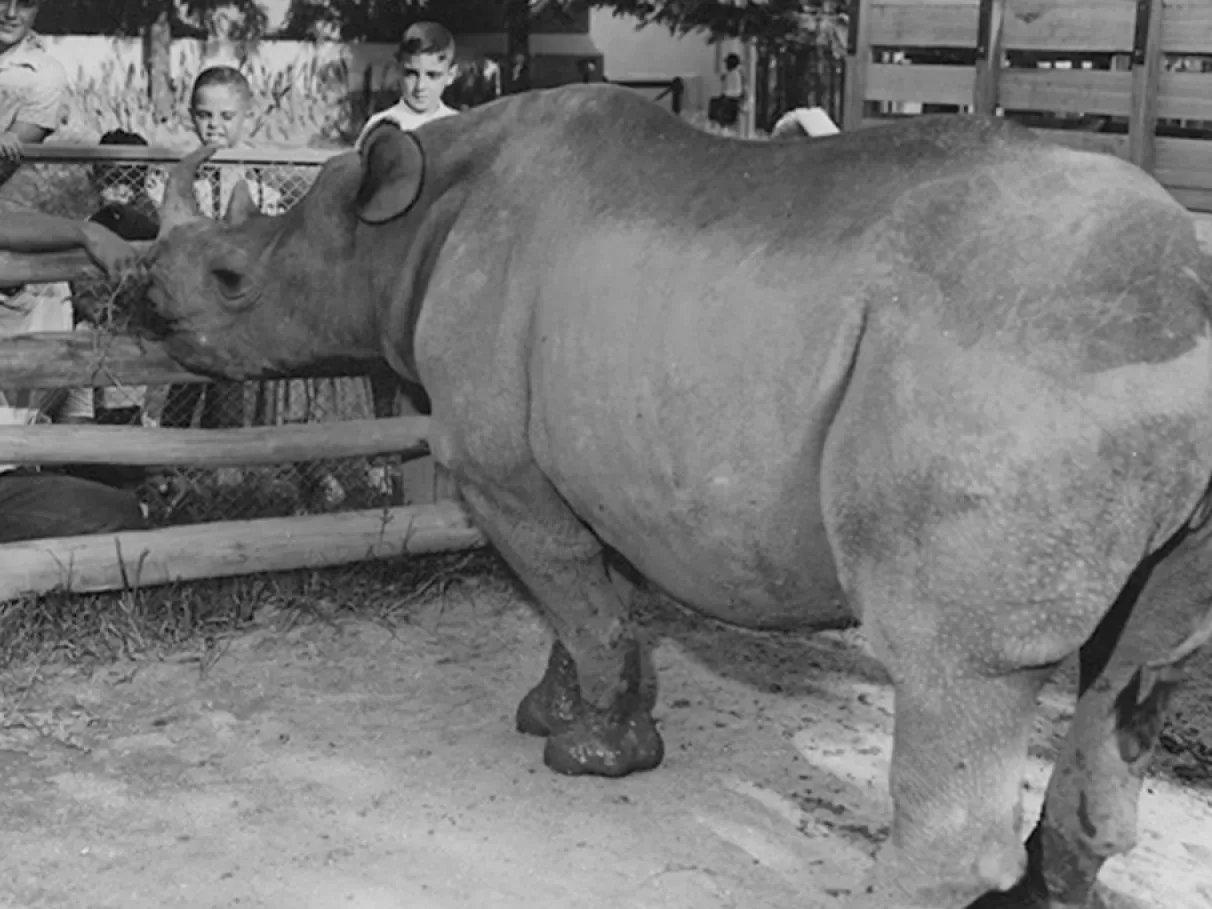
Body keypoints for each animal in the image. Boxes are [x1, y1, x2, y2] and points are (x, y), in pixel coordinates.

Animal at [140, 85, 1212, 908]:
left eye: (232, 279)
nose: (149, 313)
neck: (401, 226)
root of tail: (1189, 300)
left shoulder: (495, 464)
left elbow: (571, 593)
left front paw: (592, 759)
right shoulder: (600, 458)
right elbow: (587, 602)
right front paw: (553, 714)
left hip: (1008, 373)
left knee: (960, 663)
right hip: (1086, 373)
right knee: (1139, 664)